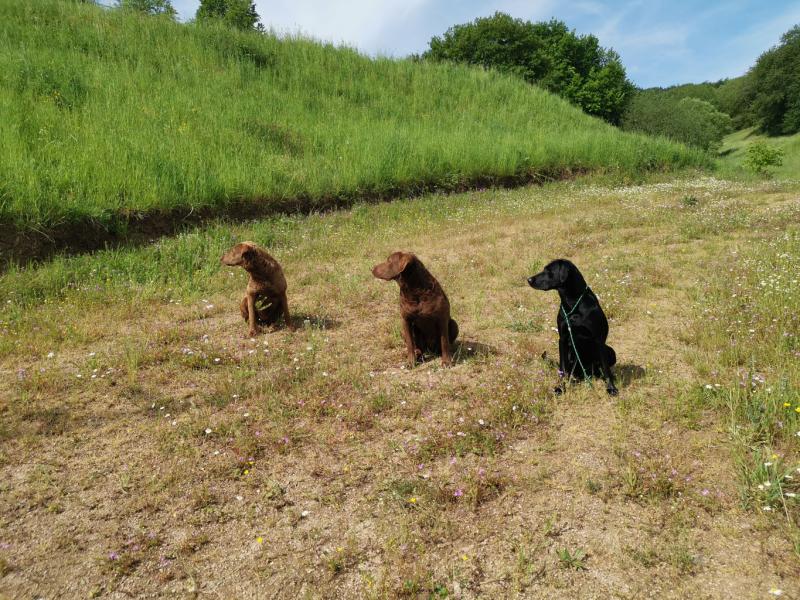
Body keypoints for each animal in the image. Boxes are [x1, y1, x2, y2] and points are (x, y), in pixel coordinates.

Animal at [532, 260, 620, 396]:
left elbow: (605, 368)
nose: (529, 279)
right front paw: (560, 387)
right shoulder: (563, 339)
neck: (572, 304)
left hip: (610, 351)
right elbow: (563, 369)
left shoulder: (598, 340)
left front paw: (611, 388)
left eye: (549, 271)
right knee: (570, 371)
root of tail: (586, 373)